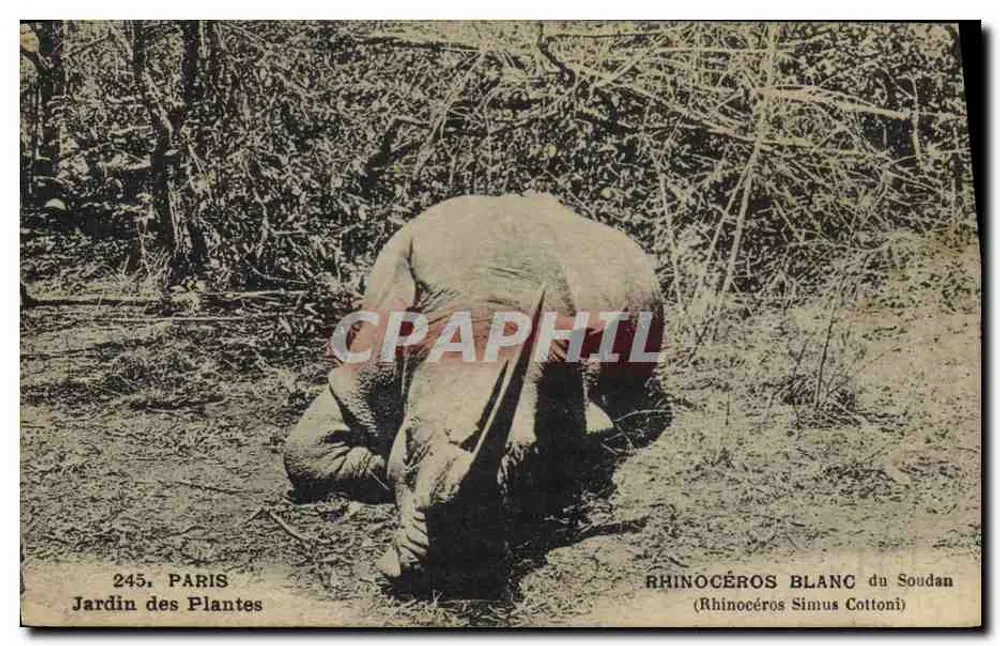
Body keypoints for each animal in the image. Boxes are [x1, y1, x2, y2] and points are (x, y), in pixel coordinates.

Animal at [283, 193, 668, 592]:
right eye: (408, 443)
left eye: (524, 456)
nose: (450, 563)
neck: (483, 306)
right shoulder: (364, 376)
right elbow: (302, 453)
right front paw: (379, 461)